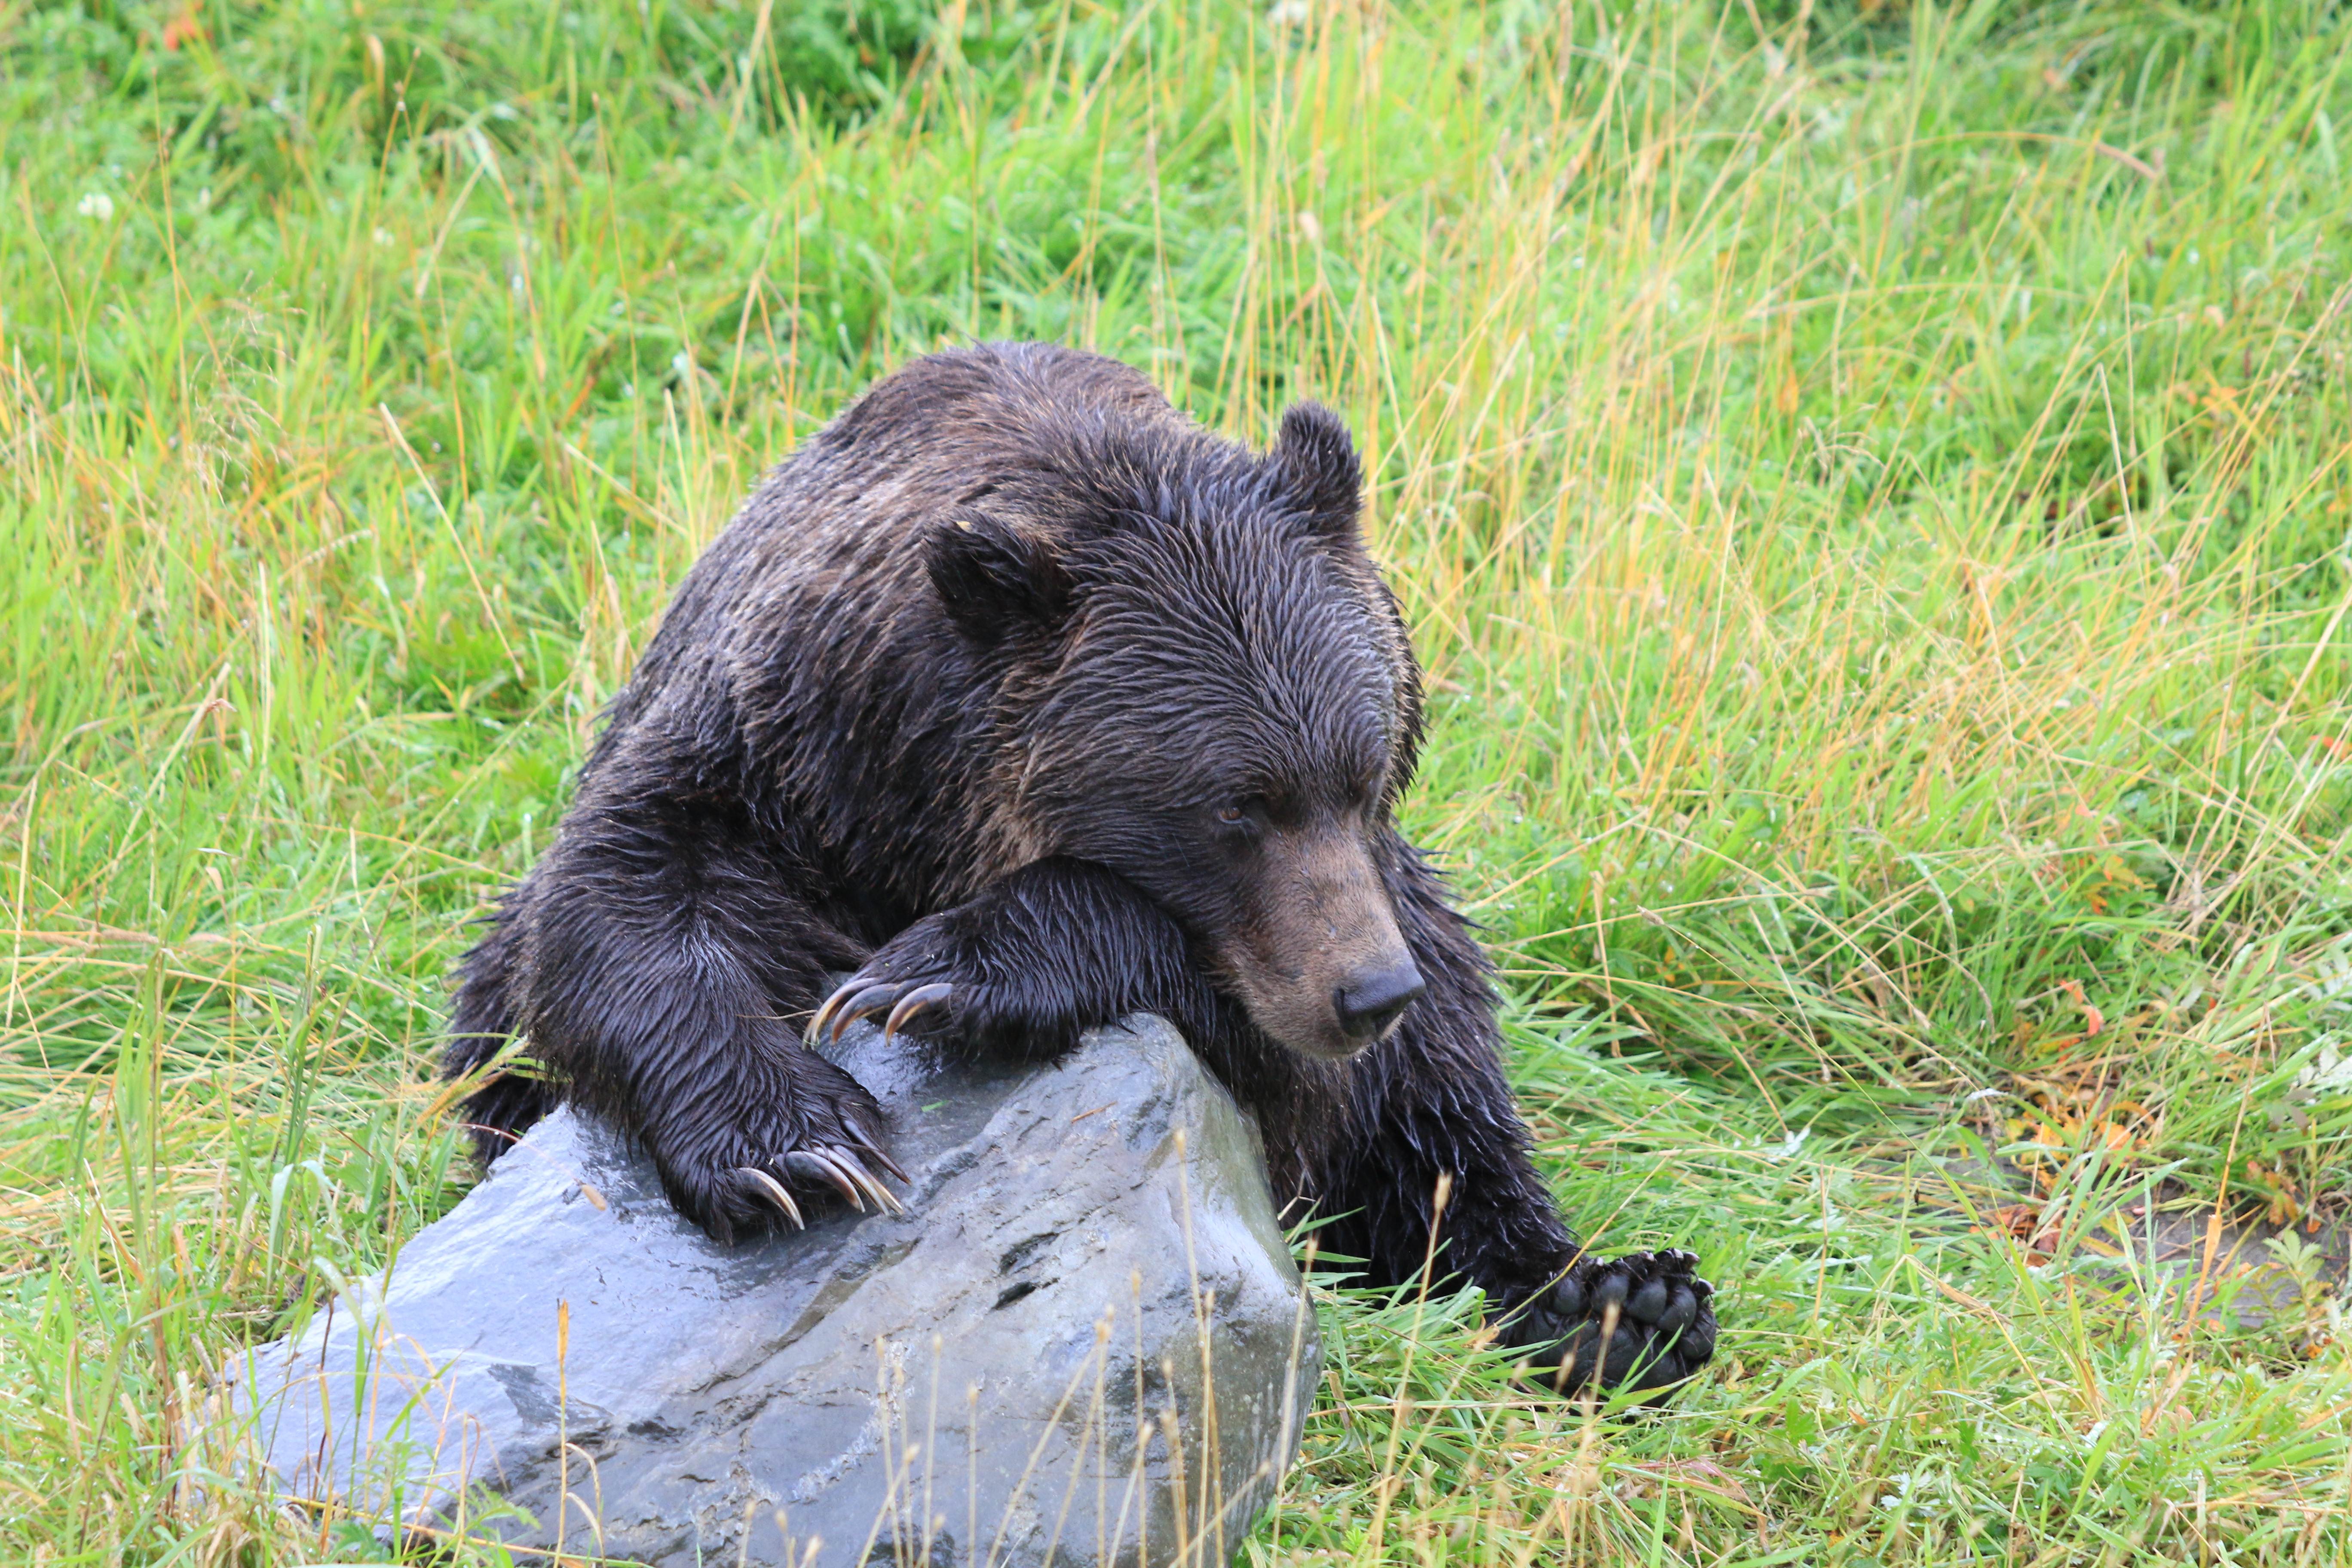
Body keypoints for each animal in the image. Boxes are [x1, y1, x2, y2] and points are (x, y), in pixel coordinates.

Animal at [445, 342, 1716, 1394]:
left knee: (1448, 1109)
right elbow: (615, 906)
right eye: (1237, 806)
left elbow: (1315, 1081)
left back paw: (1622, 1300)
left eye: (1367, 769)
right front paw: (797, 1152)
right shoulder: (778, 774)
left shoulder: (1343, 929)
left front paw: (948, 971)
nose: (1366, 993)